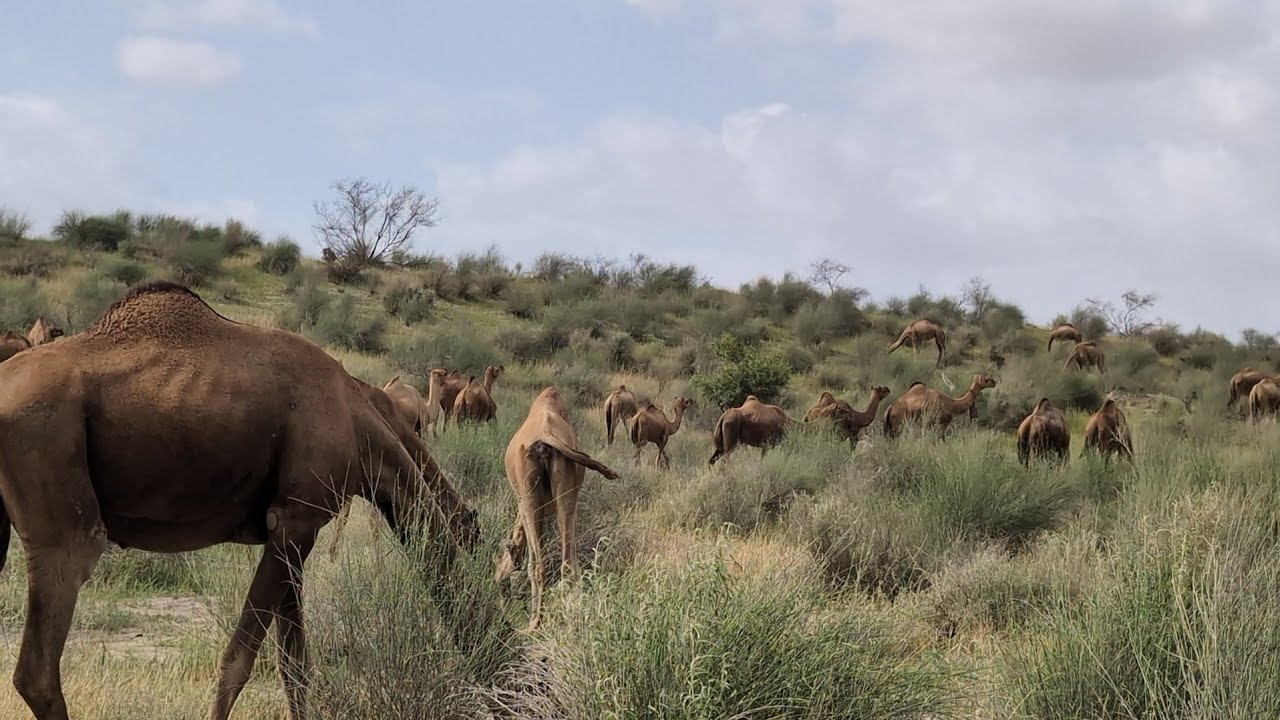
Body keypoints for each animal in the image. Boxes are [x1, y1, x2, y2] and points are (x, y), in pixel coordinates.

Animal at [0, 281, 479, 720]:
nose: (486, 648)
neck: (358, 423)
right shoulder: (297, 518)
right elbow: (239, 660)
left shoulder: (293, 528)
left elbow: (294, 664)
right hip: (60, 500)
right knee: (38, 668)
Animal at [494, 386, 620, 630]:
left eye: (501, 555)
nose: (496, 579)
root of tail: (546, 437)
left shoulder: (524, 505)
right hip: (565, 493)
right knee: (567, 563)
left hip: (531, 499)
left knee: (538, 564)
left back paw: (534, 622)